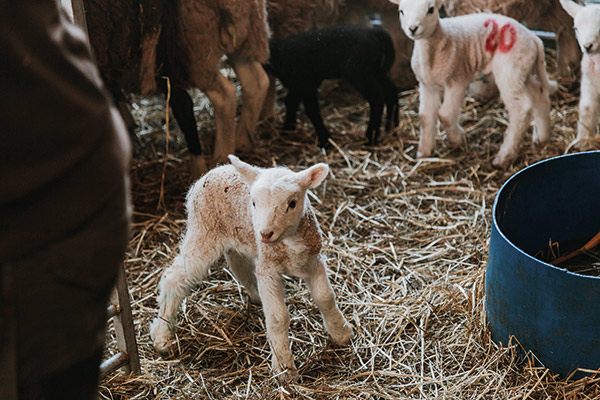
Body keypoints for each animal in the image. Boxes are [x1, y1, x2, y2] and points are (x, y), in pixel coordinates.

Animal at [81, 0, 268, 177]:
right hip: (241, 37)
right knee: (256, 82)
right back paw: (243, 140)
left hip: (193, 46)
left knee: (223, 96)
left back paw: (218, 158)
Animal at [150, 155, 354, 382]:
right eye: (254, 202)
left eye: (292, 203)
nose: (265, 234)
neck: (289, 243)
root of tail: (212, 171)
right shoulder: (269, 269)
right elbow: (278, 317)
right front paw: (284, 369)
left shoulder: (313, 260)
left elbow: (326, 298)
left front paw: (341, 333)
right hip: (204, 231)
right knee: (174, 278)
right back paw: (162, 336)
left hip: (236, 238)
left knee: (238, 264)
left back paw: (256, 295)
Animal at [266, 24, 398, 147]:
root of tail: (373, 31)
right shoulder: (297, 85)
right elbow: (291, 103)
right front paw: (287, 130)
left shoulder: (305, 82)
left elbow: (311, 109)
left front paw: (325, 140)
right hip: (374, 69)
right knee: (391, 90)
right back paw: (392, 129)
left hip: (357, 71)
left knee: (377, 98)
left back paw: (371, 137)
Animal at [392, 0, 556, 167]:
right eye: (401, 11)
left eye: (430, 10)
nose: (413, 28)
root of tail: (533, 37)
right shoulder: (427, 85)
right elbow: (425, 117)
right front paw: (423, 154)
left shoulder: (457, 80)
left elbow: (445, 113)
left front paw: (458, 140)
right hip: (523, 71)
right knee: (540, 94)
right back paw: (542, 138)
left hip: (510, 70)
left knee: (521, 108)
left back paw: (504, 157)